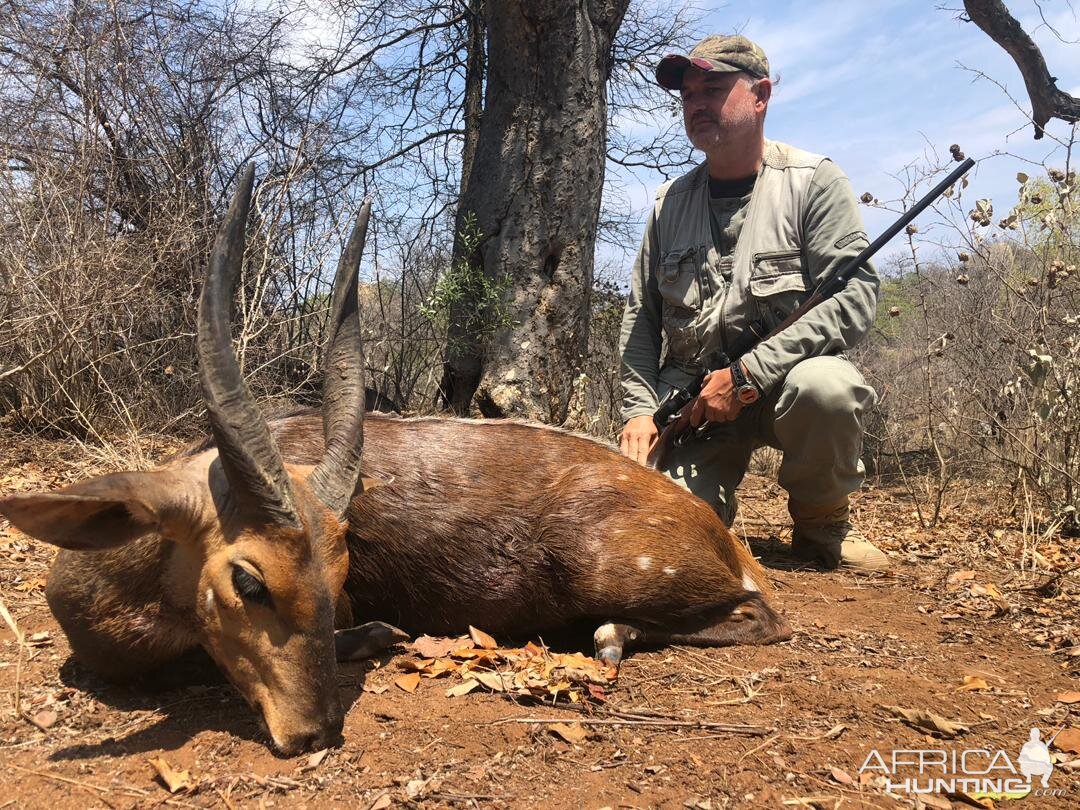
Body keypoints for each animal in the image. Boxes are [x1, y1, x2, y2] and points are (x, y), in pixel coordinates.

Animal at [0, 168, 794, 760]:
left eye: (341, 574)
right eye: (249, 581)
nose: (313, 732)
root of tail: (722, 536)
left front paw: (380, 638)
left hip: (615, 572)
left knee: (761, 616)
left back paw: (610, 639)